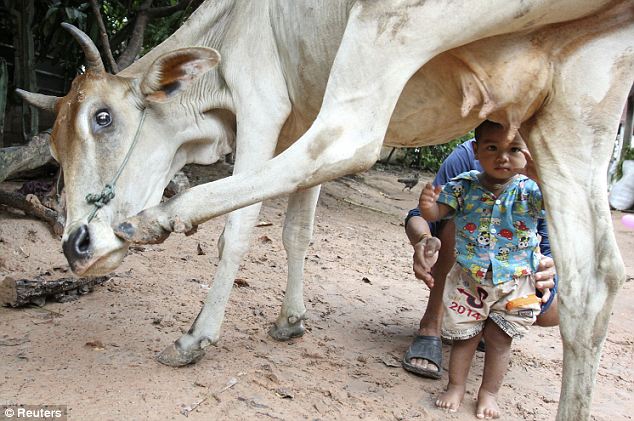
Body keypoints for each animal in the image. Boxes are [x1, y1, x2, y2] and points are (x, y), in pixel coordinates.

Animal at [17, 1, 628, 418]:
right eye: (54, 150)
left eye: (103, 117)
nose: (76, 245)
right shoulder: (298, 113)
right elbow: (297, 230)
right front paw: (291, 320)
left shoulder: (262, 104)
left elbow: (240, 229)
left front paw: (197, 336)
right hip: (576, 106)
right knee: (595, 281)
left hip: (391, 26)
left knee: (347, 136)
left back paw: (156, 219)